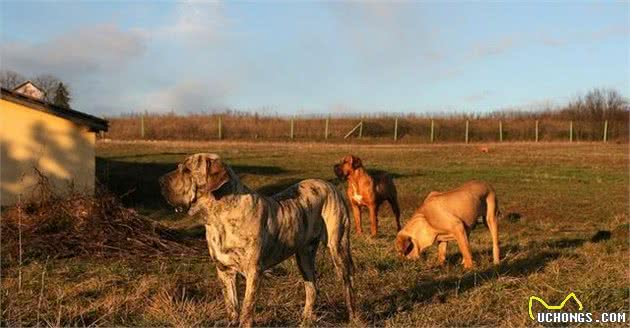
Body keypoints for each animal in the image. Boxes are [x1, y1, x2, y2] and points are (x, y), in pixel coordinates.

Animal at [160, 154, 358, 328]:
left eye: (187, 170)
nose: (160, 181)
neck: (218, 217)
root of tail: (328, 184)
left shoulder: (253, 271)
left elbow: (247, 308)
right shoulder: (224, 271)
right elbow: (232, 306)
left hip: (338, 247)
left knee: (348, 284)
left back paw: (352, 317)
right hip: (304, 257)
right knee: (312, 288)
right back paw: (306, 320)